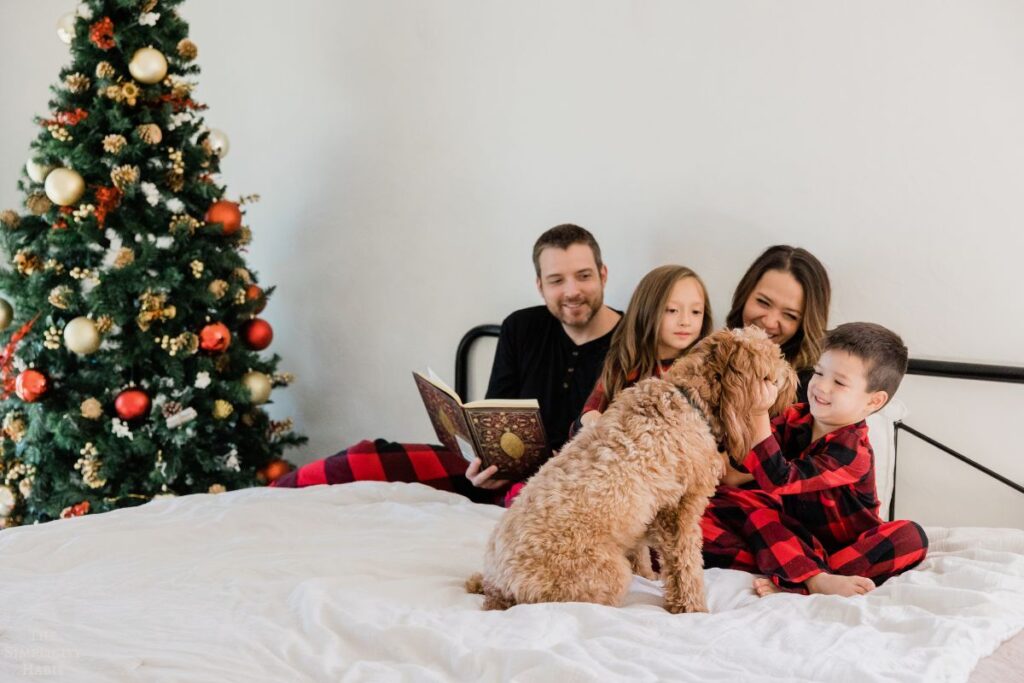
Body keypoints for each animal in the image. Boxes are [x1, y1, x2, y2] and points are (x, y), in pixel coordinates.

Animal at [468, 325, 794, 614]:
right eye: (775, 357)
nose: (794, 377)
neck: (688, 398)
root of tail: (499, 585)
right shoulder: (681, 511)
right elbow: (686, 564)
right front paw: (693, 608)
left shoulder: (650, 513)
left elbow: (644, 551)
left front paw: (649, 576)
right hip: (605, 574)